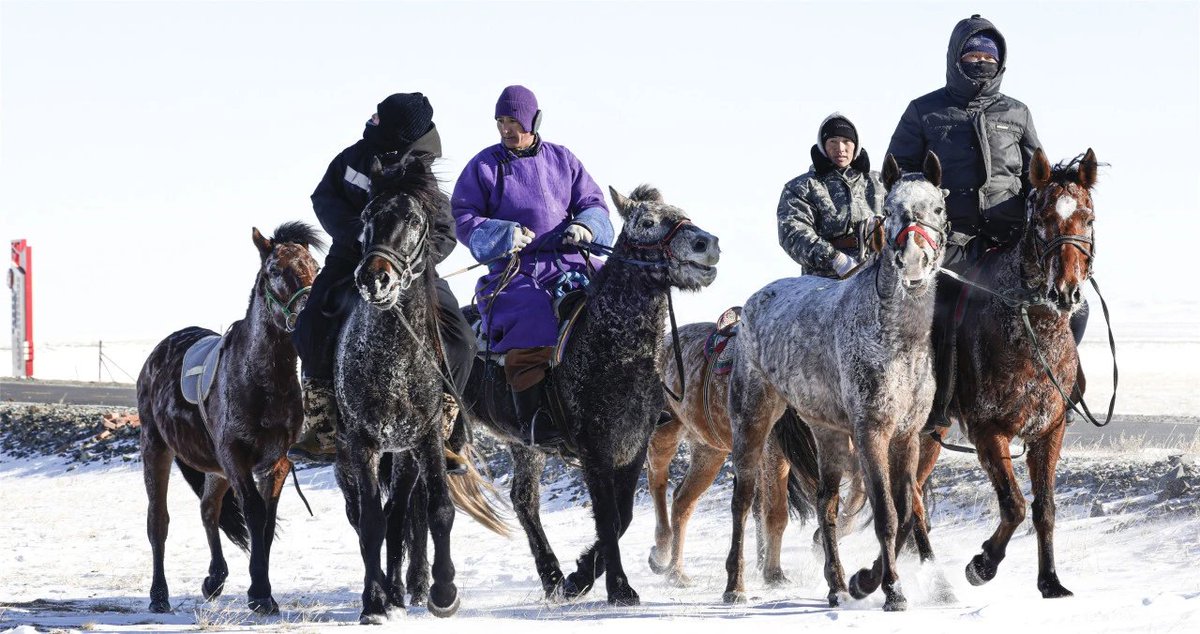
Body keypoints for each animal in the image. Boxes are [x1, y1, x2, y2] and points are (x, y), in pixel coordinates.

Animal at [137, 222, 324, 614]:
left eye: (315, 266)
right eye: (274, 270)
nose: (308, 316)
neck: (262, 381)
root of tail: (157, 354)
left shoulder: (275, 462)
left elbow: (266, 520)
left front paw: (262, 591)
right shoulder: (235, 456)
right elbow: (253, 512)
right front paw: (260, 594)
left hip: (215, 469)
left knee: (209, 509)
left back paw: (214, 579)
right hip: (156, 447)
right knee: (158, 521)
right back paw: (159, 596)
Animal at [333, 153, 506, 624]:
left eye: (413, 219)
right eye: (367, 216)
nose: (375, 279)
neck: (393, 364)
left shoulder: (427, 437)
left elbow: (438, 511)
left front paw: (444, 593)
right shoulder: (362, 443)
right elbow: (370, 522)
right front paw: (373, 603)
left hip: (408, 455)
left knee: (402, 515)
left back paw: (405, 587)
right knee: (375, 518)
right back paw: (389, 592)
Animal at [912, 148, 1099, 600]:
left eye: (1088, 218)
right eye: (1042, 219)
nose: (1065, 293)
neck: (1031, 333)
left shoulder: (1049, 431)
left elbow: (1045, 507)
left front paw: (1050, 582)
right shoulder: (988, 430)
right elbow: (1013, 504)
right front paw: (982, 565)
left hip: (928, 437)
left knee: (911, 496)